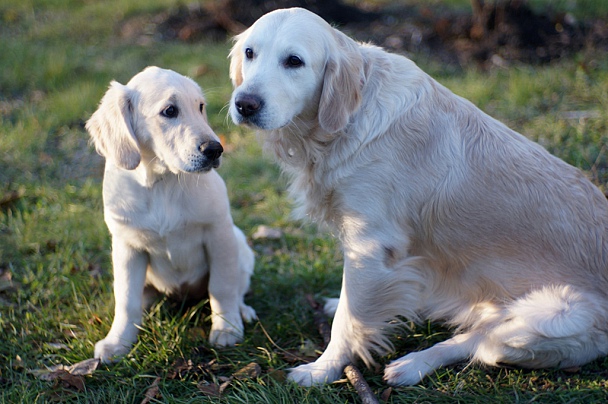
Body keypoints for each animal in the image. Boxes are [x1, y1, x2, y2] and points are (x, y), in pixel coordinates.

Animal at [86, 66, 255, 362]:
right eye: (170, 111)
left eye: (200, 107)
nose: (215, 149)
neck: (163, 181)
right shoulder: (126, 246)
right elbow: (126, 299)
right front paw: (118, 342)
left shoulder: (219, 233)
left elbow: (222, 286)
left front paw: (226, 328)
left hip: (240, 245)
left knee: (237, 287)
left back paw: (242, 311)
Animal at [230, 7, 608, 386]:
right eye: (250, 53)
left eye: (294, 61)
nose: (244, 104)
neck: (346, 122)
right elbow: (355, 304)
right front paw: (343, 308)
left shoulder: (369, 243)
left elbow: (347, 324)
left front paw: (323, 368)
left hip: (546, 321)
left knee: (479, 340)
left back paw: (412, 364)